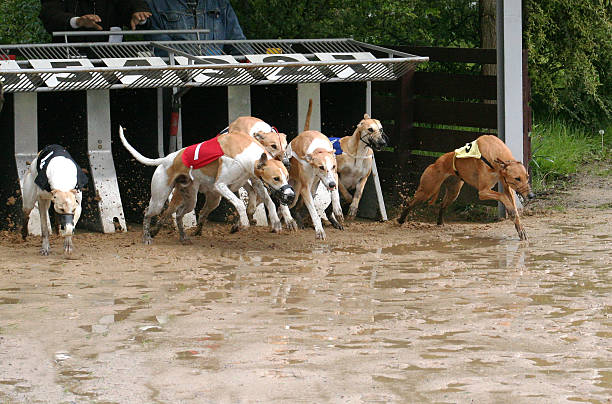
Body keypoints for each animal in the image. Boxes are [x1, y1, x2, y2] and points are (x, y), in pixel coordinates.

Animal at [118, 128, 296, 245]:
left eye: (287, 176)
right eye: (276, 178)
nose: (290, 195)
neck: (244, 152)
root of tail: (166, 159)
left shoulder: (256, 180)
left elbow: (268, 201)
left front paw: (276, 221)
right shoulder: (220, 185)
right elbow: (239, 203)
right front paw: (244, 223)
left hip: (190, 199)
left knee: (179, 214)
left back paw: (183, 237)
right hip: (159, 199)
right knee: (149, 212)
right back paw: (147, 236)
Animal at [400, 136, 532, 240]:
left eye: (527, 177)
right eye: (517, 178)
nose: (531, 196)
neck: (495, 152)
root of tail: (436, 162)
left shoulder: (506, 185)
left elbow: (511, 204)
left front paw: (520, 228)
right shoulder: (483, 192)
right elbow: (502, 196)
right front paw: (511, 211)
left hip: (453, 192)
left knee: (442, 205)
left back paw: (440, 223)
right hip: (427, 190)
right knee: (410, 203)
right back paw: (400, 220)